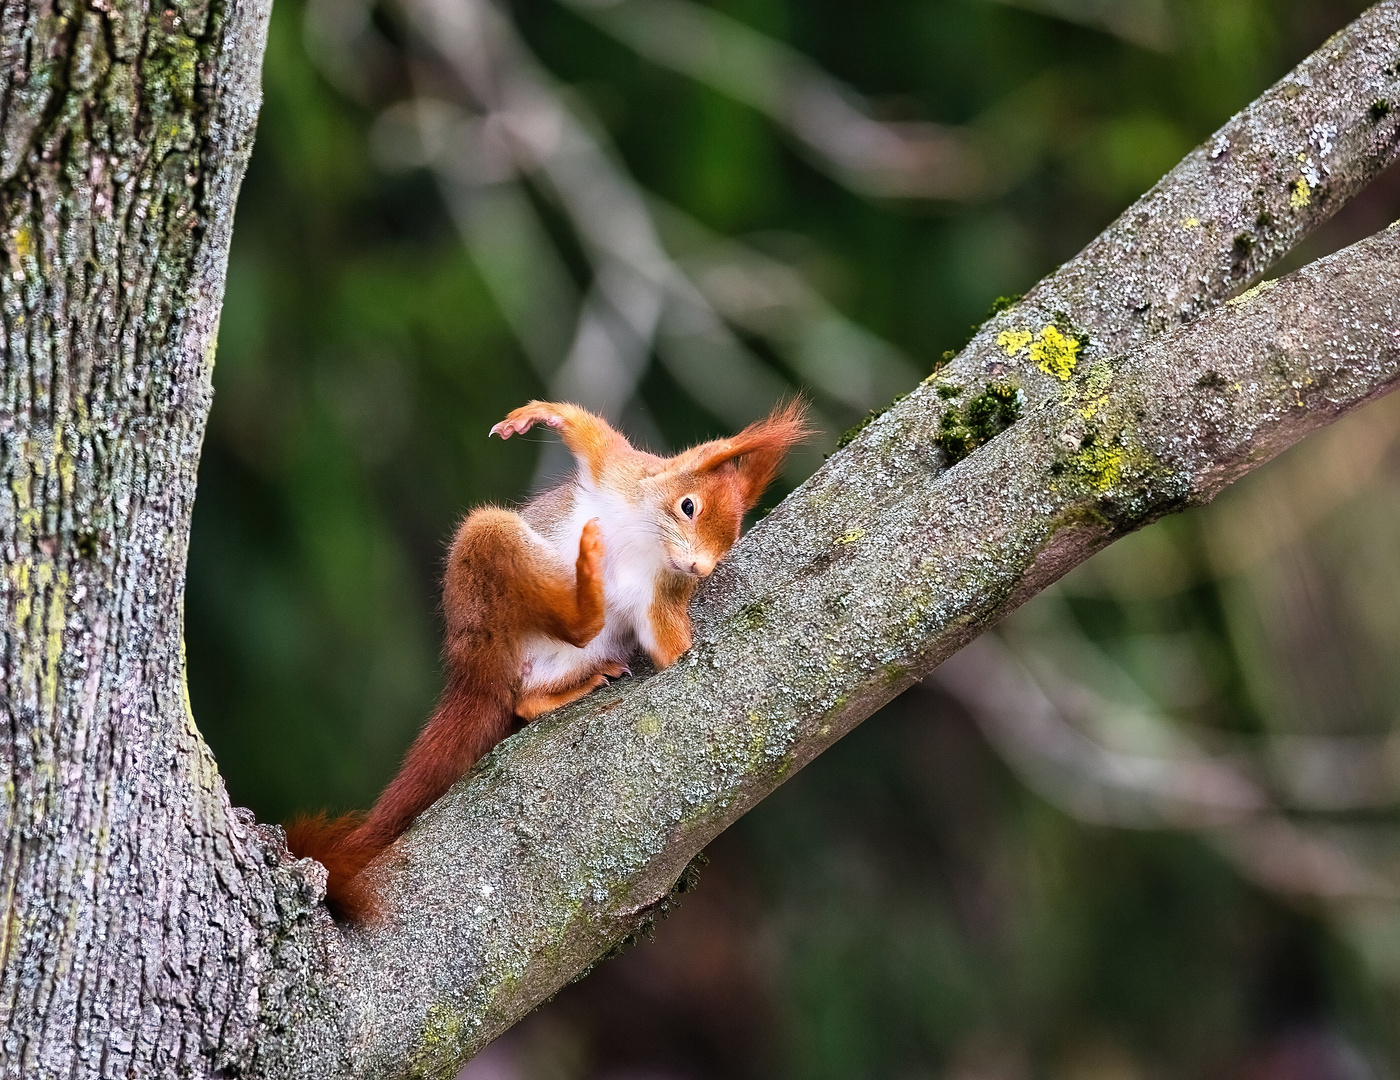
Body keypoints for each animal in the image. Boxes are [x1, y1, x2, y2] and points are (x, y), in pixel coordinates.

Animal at [285, 397, 812, 918]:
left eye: (730, 538)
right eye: (689, 506)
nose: (700, 568)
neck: (647, 541)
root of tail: (477, 671)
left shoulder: (658, 599)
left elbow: (667, 646)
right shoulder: (617, 473)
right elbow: (591, 433)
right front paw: (536, 415)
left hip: (564, 656)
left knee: (526, 696)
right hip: (487, 562)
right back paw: (586, 582)